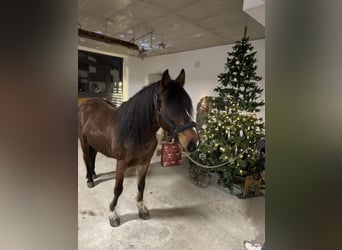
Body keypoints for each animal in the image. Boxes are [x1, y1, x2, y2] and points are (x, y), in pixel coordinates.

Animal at [78, 70, 199, 227]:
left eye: (187, 106)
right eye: (169, 107)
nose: (193, 142)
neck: (135, 132)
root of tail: (86, 103)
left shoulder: (144, 162)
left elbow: (141, 185)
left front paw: (141, 208)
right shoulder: (121, 163)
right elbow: (118, 189)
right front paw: (113, 214)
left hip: (95, 143)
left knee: (92, 157)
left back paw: (93, 174)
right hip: (84, 142)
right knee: (86, 158)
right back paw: (89, 180)